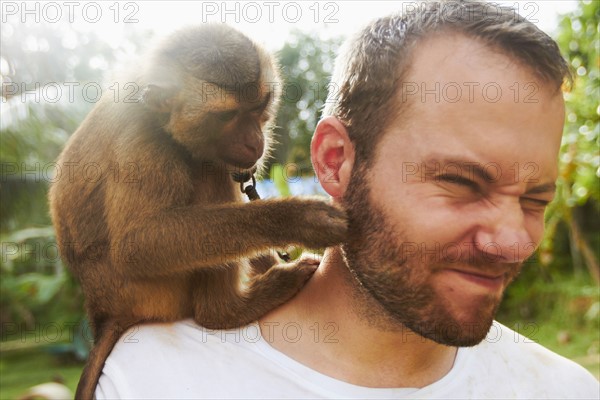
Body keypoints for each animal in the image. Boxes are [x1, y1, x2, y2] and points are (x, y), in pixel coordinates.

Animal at [49, 24, 350, 396]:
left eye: (260, 105)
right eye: (227, 116)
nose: (254, 141)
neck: (159, 116)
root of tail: (103, 311)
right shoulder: (143, 143)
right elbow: (138, 244)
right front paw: (298, 219)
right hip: (150, 293)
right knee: (210, 174)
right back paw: (225, 311)